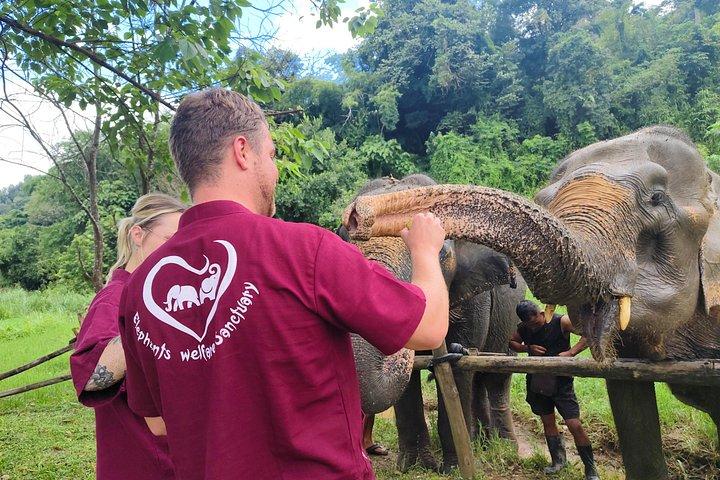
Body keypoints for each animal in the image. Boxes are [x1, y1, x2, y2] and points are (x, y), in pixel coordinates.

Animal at [340, 174, 527, 473]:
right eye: (342, 239)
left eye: (439, 252)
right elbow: (409, 381)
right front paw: (413, 466)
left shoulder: (474, 299)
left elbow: (459, 366)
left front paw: (452, 468)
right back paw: (478, 442)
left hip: (510, 322)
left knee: (495, 376)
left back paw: (500, 445)